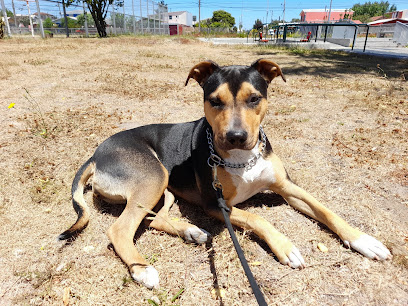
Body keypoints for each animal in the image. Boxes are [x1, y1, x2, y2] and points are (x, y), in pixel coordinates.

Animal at [58, 59, 392, 290]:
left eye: (254, 98)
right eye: (214, 100)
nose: (235, 136)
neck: (243, 160)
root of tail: (95, 154)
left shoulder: (287, 187)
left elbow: (326, 211)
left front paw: (364, 240)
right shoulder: (215, 204)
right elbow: (258, 218)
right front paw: (285, 247)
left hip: (164, 189)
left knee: (153, 220)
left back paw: (190, 232)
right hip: (153, 176)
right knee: (120, 229)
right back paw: (142, 269)